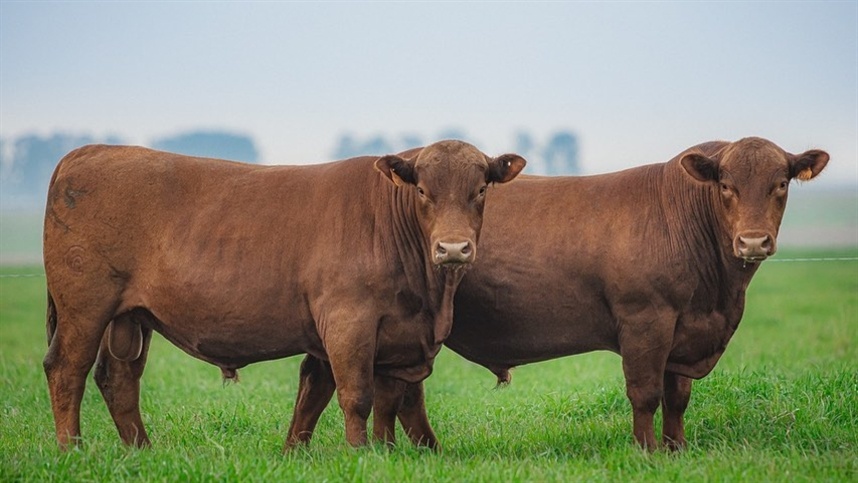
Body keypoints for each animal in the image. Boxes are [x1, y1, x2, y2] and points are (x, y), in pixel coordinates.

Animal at [43, 139, 524, 450]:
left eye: (481, 189)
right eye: (423, 190)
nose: (453, 249)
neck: (428, 297)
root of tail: (89, 150)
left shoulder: (397, 334)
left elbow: (362, 395)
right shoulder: (349, 321)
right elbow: (356, 395)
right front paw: (361, 454)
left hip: (130, 316)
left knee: (119, 378)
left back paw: (141, 449)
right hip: (85, 307)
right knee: (67, 369)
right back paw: (73, 449)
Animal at [290, 135, 824, 450]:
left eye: (781, 183)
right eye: (726, 185)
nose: (752, 241)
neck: (717, 295)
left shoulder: (687, 327)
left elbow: (677, 397)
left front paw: (677, 451)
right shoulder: (646, 319)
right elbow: (646, 393)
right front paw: (648, 453)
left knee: (349, 386)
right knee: (388, 392)